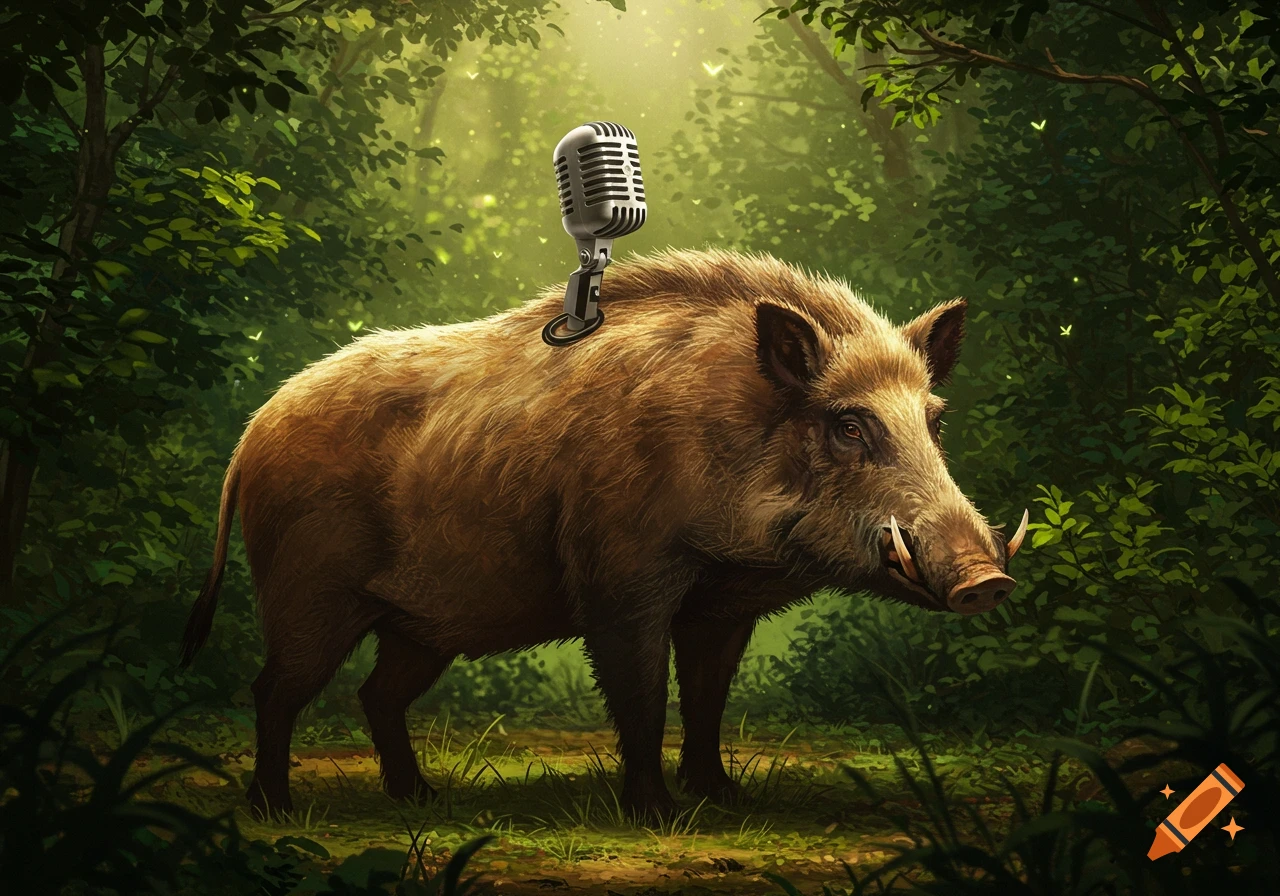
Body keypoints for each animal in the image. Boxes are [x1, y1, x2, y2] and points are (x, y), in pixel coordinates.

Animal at [179, 247, 1027, 821]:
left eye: (935, 419)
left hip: (420, 624)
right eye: (849, 424)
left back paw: (419, 800)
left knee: (375, 694)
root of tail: (251, 435)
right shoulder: (620, 578)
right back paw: (275, 810)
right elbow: (642, 695)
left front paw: (724, 798)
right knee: (275, 690)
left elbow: (708, 695)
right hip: (306, 593)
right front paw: (657, 816)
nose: (988, 582)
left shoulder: (722, 604)